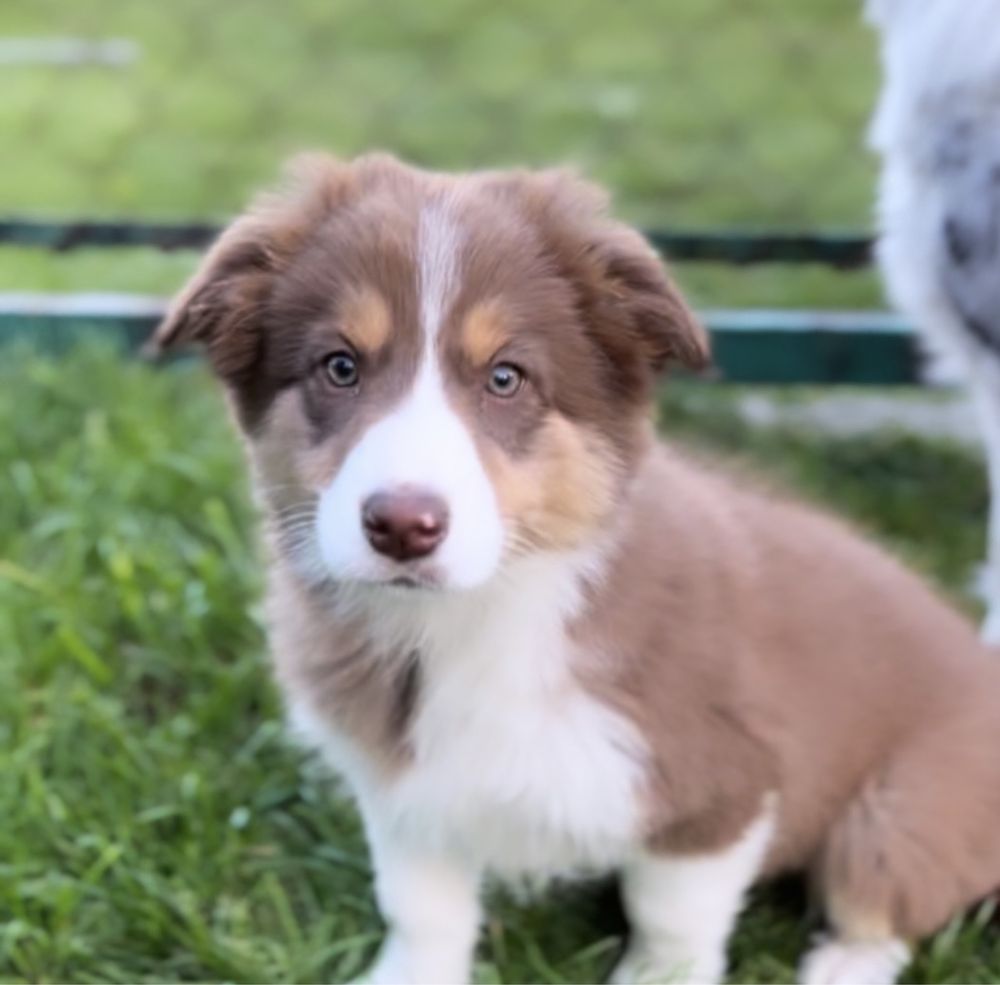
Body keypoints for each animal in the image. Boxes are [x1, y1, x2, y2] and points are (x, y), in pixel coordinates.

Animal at [152, 148, 1000, 984]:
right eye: (339, 366)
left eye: (505, 376)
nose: (401, 527)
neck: (482, 609)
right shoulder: (405, 787)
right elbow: (421, 905)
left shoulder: (717, 788)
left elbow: (672, 920)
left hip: (903, 809)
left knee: (880, 902)